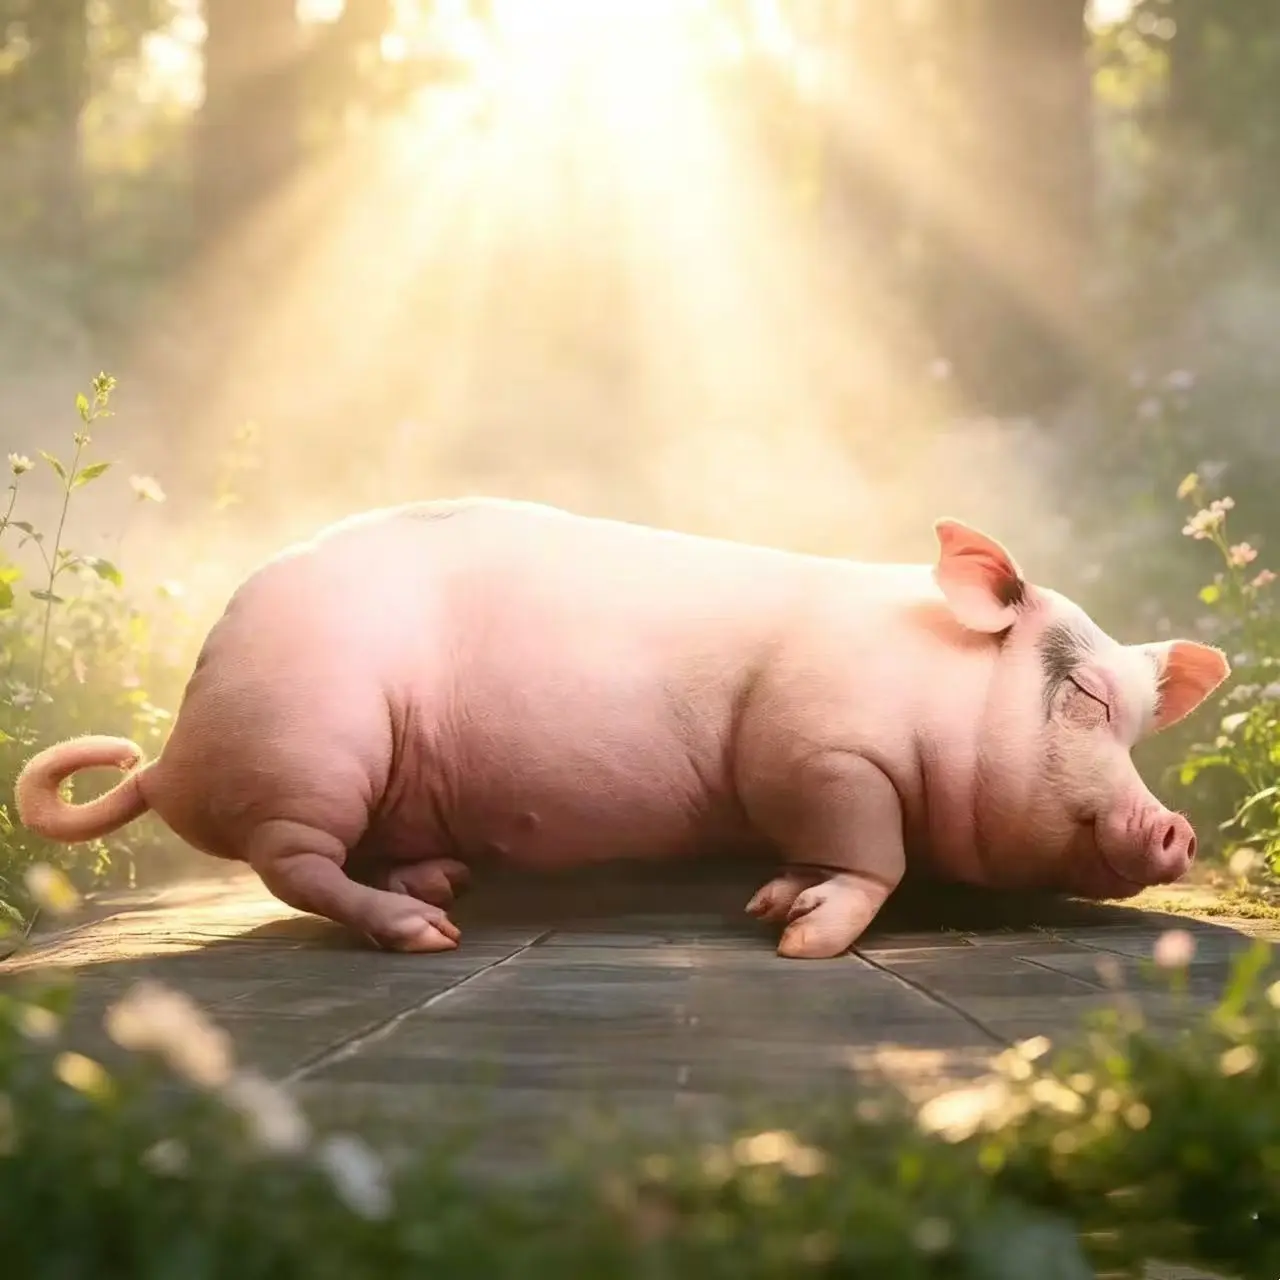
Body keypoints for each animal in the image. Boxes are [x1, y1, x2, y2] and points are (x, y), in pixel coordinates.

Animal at [13, 498, 1230, 959]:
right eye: (1083, 700)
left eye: (1138, 723)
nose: (1173, 828)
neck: (937, 698)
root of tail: (169, 754)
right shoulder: (818, 751)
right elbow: (866, 855)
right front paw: (803, 936)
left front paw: (771, 904)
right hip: (314, 747)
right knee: (292, 864)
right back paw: (426, 932)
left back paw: (439, 884)